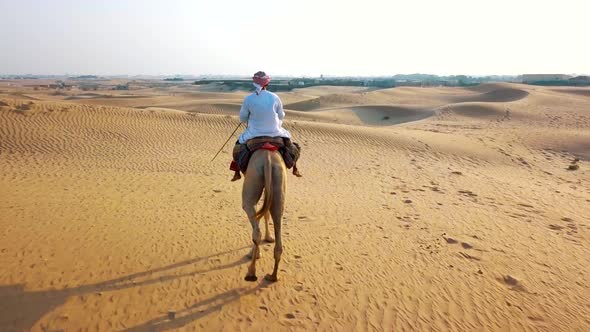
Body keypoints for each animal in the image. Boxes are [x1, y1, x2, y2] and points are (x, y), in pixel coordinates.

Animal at [240, 147, 286, 282]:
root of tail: (268, 159)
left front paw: (255, 253)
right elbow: (265, 213)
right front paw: (269, 237)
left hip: (252, 182)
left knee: (256, 231)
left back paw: (251, 272)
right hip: (279, 182)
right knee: (277, 217)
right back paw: (272, 276)